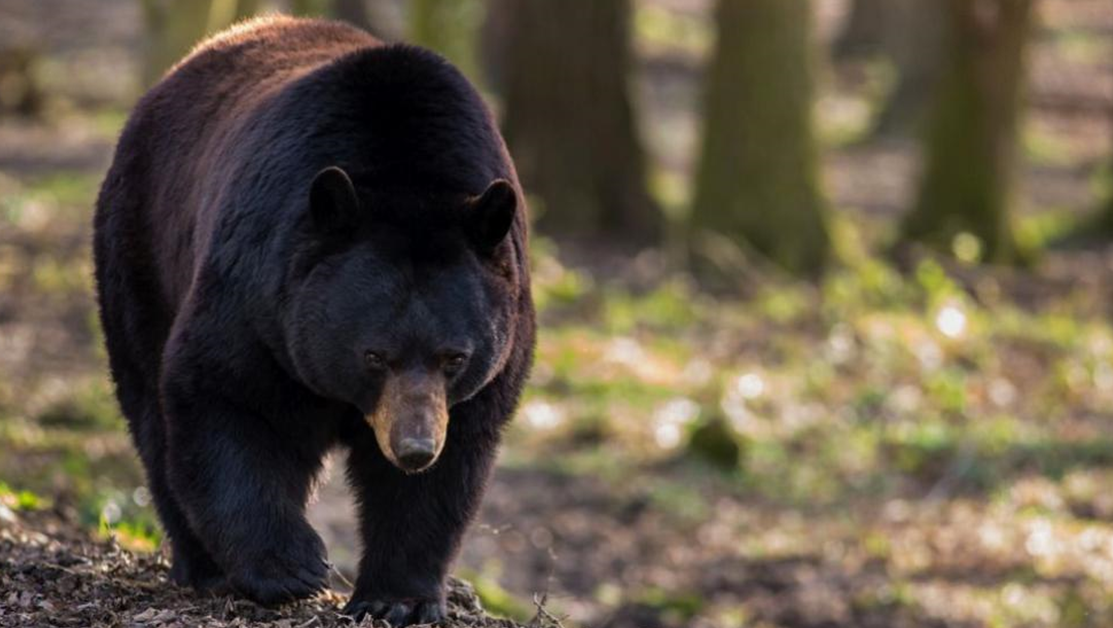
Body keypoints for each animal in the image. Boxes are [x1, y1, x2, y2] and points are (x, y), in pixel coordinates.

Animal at [91, 15, 534, 628]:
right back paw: (203, 565)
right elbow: (227, 399)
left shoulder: (492, 353)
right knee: (151, 405)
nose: (414, 447)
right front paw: (290, 567)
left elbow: (445, 473)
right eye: (374, 354)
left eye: (455, 357)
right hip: (144, 243)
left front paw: (396, 597)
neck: (405, 175)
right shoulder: (259, 298)